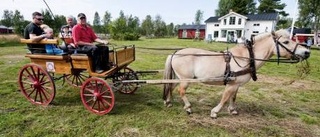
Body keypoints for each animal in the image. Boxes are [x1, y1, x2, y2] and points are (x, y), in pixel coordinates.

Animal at [162, 29, 310, 119]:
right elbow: (225, 98)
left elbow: (233, 97)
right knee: (181, 91)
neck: (245, 57)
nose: (306, 52)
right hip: (185, 80)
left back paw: (168, 102)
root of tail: (176, 52)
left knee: (171, 88)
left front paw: (232, 110)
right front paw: (215, 112)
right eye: (286, 42)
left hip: (178, 78)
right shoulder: (231, 84)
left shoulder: (236, 84)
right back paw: (188, 108)